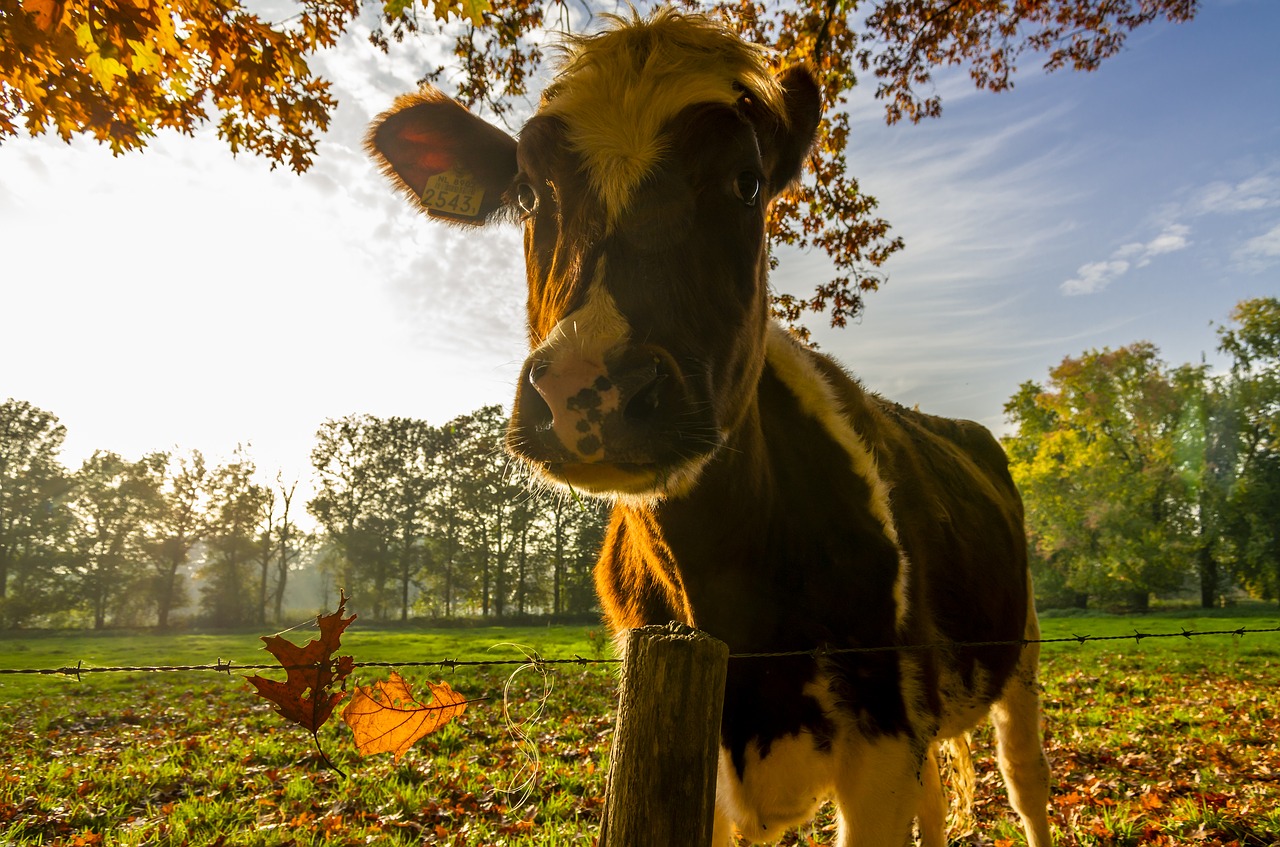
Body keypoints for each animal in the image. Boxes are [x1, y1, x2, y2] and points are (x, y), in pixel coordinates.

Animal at [368, 9, 1049, 844]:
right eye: (528, 192)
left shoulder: (882, 738)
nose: (588, 390)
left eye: (746, 183)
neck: (723, 587)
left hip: (1020, 654)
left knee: (1026, 783)